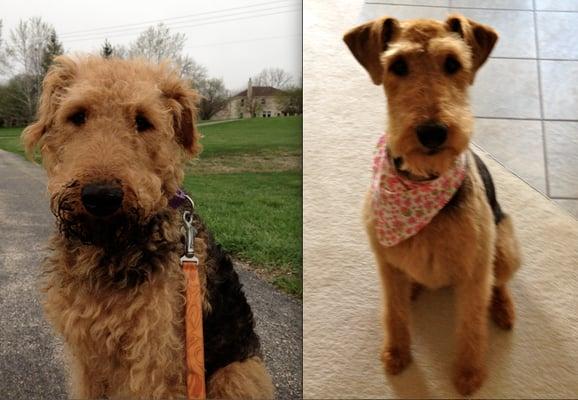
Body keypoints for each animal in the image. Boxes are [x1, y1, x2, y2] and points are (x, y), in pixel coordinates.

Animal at [23, 56, 274, 400]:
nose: (101, 197)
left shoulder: (153, 361)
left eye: (143, 121)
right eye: (77, 115)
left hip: (235, 373)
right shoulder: (87, 355)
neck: (110, 248)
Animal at [344, 14, 520, 396]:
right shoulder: (386, 263)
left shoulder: (474, 272)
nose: (433, 132)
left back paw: (503, 310)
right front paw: (396, 354)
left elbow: (470, 326)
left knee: (499, 284)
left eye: (453, 63)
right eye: (397, 65)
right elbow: (393, 314)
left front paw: (468, 375)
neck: (422, 179)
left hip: (505, 246)